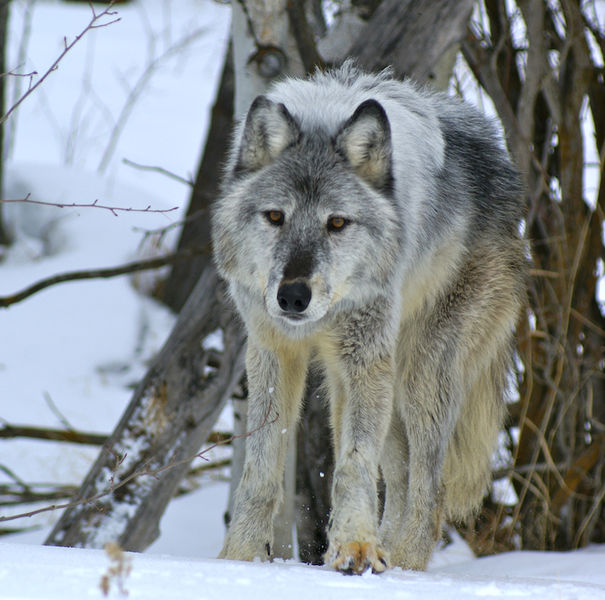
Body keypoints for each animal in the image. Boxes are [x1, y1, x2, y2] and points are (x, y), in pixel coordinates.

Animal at [211, 63, 524, 576]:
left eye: (337, 223)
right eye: (275, 216)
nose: (292, 296)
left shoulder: (362, 360)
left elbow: (354, 465)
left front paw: (355, 546)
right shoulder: (274, 353)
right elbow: (260, 468)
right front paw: (238, 557)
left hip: (417, 376)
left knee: (428, 490)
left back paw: (406, 567)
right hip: (370, 384)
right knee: (398, 479)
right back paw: (389, 556)